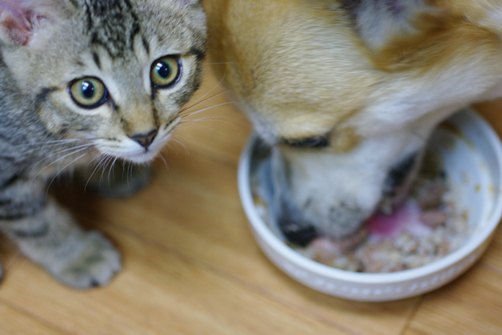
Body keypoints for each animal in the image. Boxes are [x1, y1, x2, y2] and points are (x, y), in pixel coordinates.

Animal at [0, 0, 206, 288]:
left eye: (164, 70)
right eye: (87, 91)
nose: (146, 135)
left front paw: (113, 174)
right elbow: (35, 221)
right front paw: (77, 254)